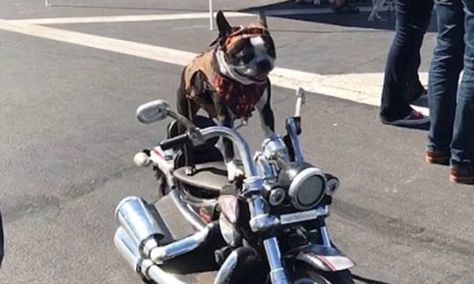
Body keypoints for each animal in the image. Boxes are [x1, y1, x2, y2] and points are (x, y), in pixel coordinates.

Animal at [176, 10, 276, 182]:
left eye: (270, 49)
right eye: (245, 54)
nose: (264, 62)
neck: (242, 84)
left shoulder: (265, 109)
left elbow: (269, 131)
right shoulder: (225, 117)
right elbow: (228, 144)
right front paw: (233, 169)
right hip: (185, 113)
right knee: (187, 142)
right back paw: (190, 166)